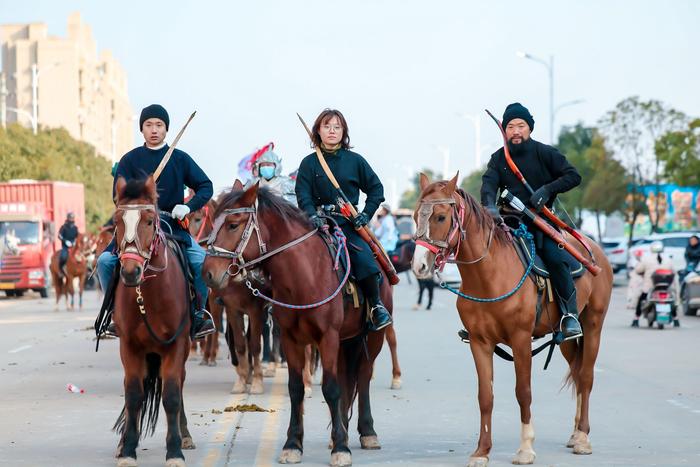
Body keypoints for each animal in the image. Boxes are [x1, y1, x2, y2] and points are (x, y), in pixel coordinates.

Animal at [111, 176, 194, 467]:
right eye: (117, 221)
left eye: (148, 220)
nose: (130, 271)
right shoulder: (129, 347)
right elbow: (133, 395)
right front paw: (127, 449)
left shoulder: (175, 345)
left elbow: (171, 395)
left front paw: (174, 451)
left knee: (179, 384)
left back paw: (185, 435)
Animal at [202, 184, 392, 467]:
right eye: (212, 223)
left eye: (233, 225)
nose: (208, 273)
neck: (304, 274)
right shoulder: (291, 338)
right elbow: (295, 389)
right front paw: (293, 444)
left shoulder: (328, 337)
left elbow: (331, 388)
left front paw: (341, 449)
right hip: (347, 339)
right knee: (348, 379)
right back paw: (344, 431)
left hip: (372, 337)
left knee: (363, 376)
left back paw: (367, 432)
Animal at [410, 175, 612, 467]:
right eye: (415, 216)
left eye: (440, 217)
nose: (419, 266)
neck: (489, 274)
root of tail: (596, 249)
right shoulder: (480, 343)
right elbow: (485, 396)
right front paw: (481, 451)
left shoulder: (520, 340)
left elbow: (523, 391)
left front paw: (526, 448)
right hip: (564, 338)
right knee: (575, 369)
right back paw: (575, 433)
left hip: (594, 324)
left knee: (585, 376)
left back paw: (583, 438)